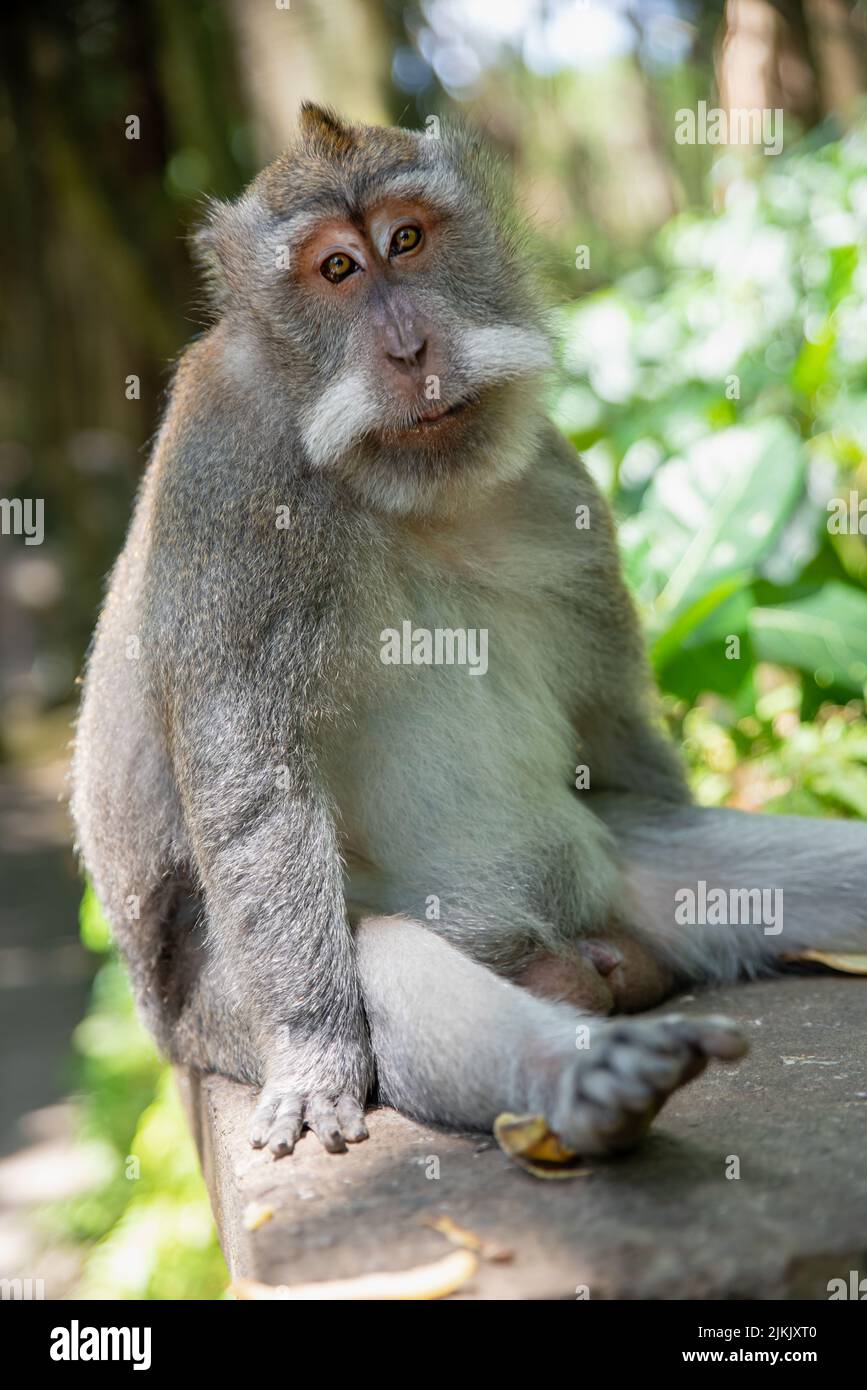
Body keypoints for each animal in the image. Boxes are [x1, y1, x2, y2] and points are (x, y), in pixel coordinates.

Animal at [69, 102, 867, 1156]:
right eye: (337, 269)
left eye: (407, 240)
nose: (411, 350)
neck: (395, 486)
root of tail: (572, 948)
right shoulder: (231, 471)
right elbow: (254, 778)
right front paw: (314, 1053)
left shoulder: (562, 485)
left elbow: (609, 727)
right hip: (218, 1014)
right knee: (385, 967)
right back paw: (587, 1080)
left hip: (610, 875)